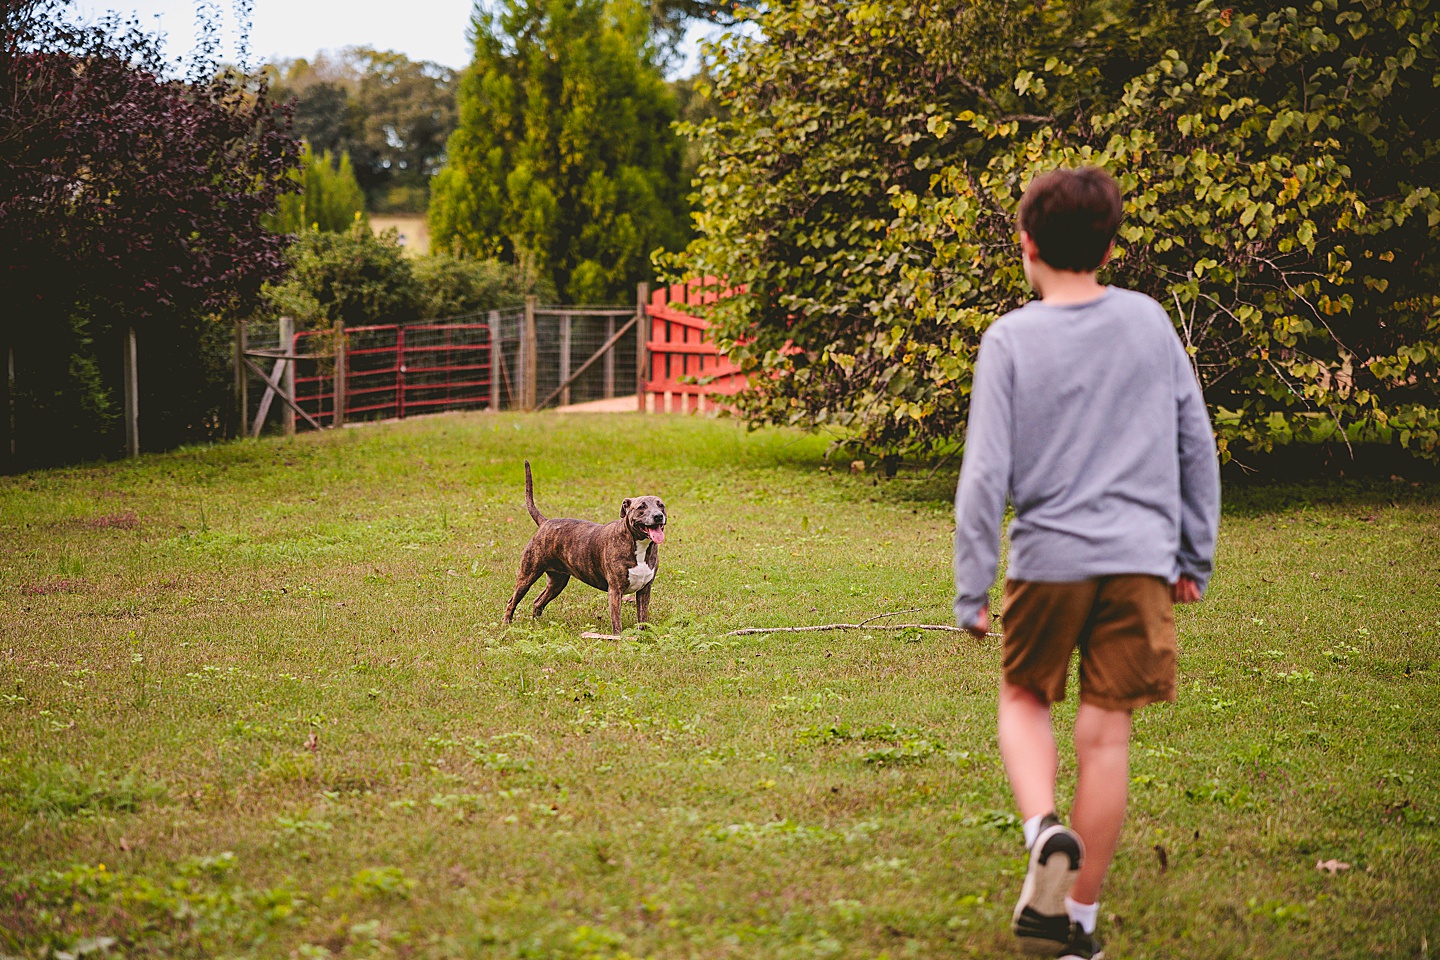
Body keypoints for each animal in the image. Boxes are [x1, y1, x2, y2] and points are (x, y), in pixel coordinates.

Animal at [504, 460, 665, 633]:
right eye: (641, 507)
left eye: (661, 505)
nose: (658, 516)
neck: (639, 545)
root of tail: (545, 522)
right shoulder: (615, 590)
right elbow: (617, 621)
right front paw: (618, 637)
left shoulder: (644, 589)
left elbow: (643, 618)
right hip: (528, 574)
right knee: (512, 601)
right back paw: (506, 623)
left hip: (557, 581)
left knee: (538, 601)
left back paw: (537, 624)